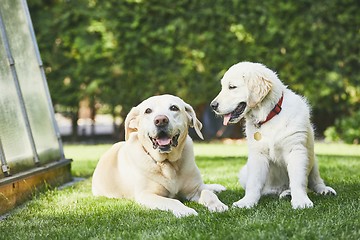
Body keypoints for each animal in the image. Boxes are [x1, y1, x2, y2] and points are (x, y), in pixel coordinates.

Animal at [92, 94, 228, 218]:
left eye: (174, 108)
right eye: (148, 111)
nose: (161, 120)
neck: (167, 163)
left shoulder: (195, 189)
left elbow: (207, 193)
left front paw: (217, 205)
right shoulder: (147, 195)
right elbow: (173, 200)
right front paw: (185, 210)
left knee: (206, 187)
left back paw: (216, 187)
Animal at [210, 61, 336, 208]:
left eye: (232, 87)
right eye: (223, 87)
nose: (212, 105)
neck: (269, 115)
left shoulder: (296, 150)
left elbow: (298, 180)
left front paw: (301, 201)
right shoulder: (257, 155)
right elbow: (254, 183)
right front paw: (247, 202)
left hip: (312, 159)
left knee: (315, 181)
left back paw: (323, 190)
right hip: (245, 173)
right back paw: (285, 193)